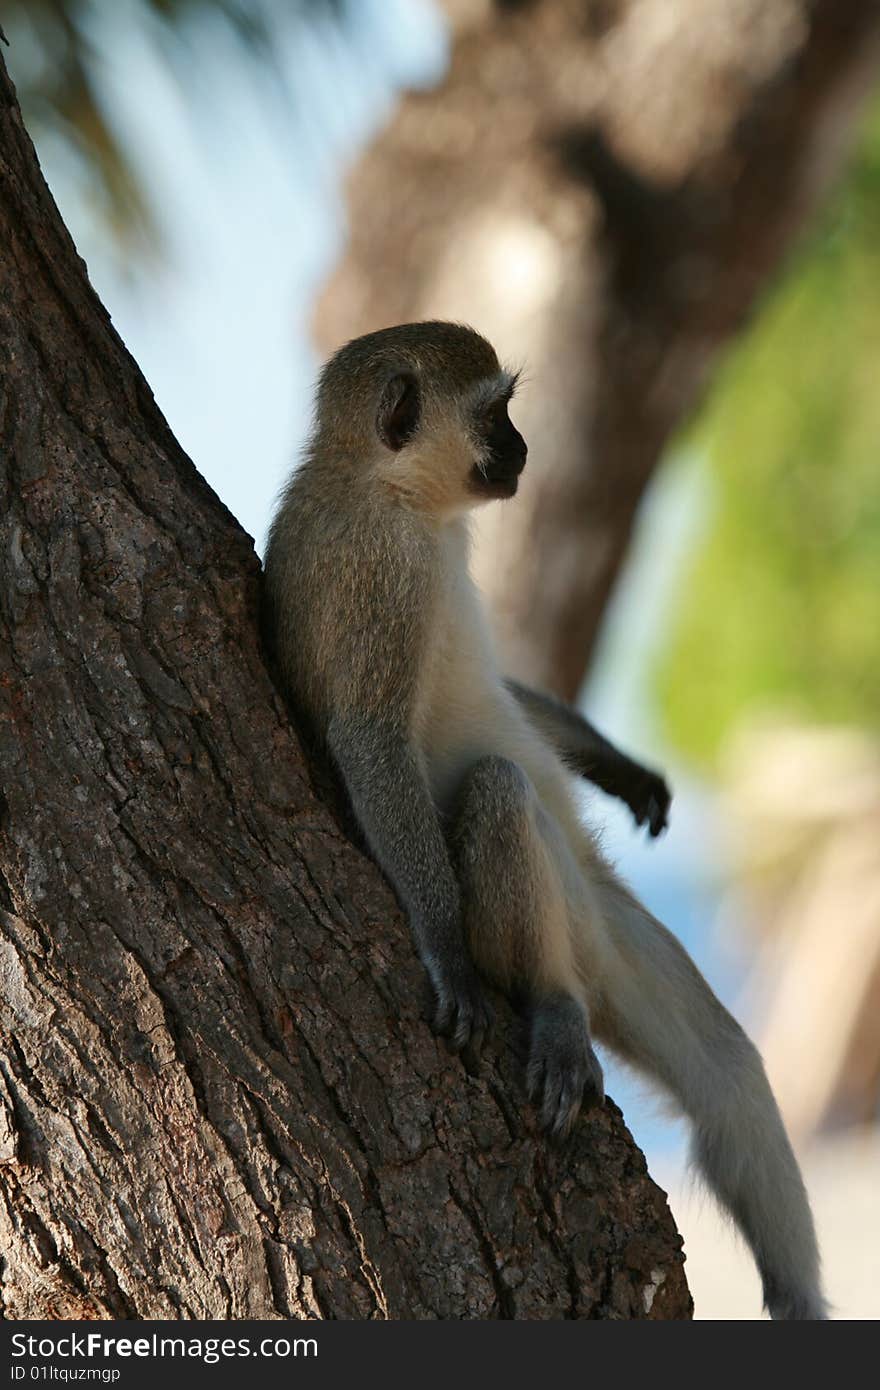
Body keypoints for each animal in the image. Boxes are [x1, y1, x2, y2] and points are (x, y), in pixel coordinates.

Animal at [264, 319, 828, 1317]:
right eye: (497, 414)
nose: (527, 449)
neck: (390, 492)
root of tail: (585, 954)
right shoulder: (382, 576)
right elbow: (370, 741)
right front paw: (447, 956)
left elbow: (514, 691)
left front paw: (621, 768)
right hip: (567, 937)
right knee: (499, 792)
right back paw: (556, 1010)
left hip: (613, 932)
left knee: (729, 1079)